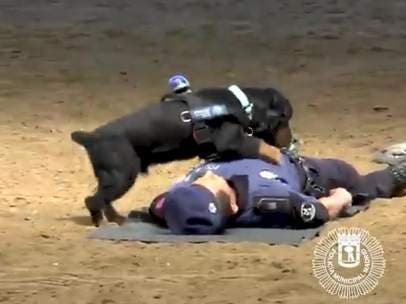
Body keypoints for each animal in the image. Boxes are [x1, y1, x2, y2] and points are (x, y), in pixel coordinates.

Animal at [71, 85, 294, 226]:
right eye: (284, 118)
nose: (291, 140)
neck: (243, 103)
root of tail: (91, 138)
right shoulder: (233, 139)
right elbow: (266, 148)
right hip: (122, 175)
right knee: (94, 200)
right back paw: (103, 223)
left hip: (112, 177)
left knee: (103, 200)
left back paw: (117, 220)